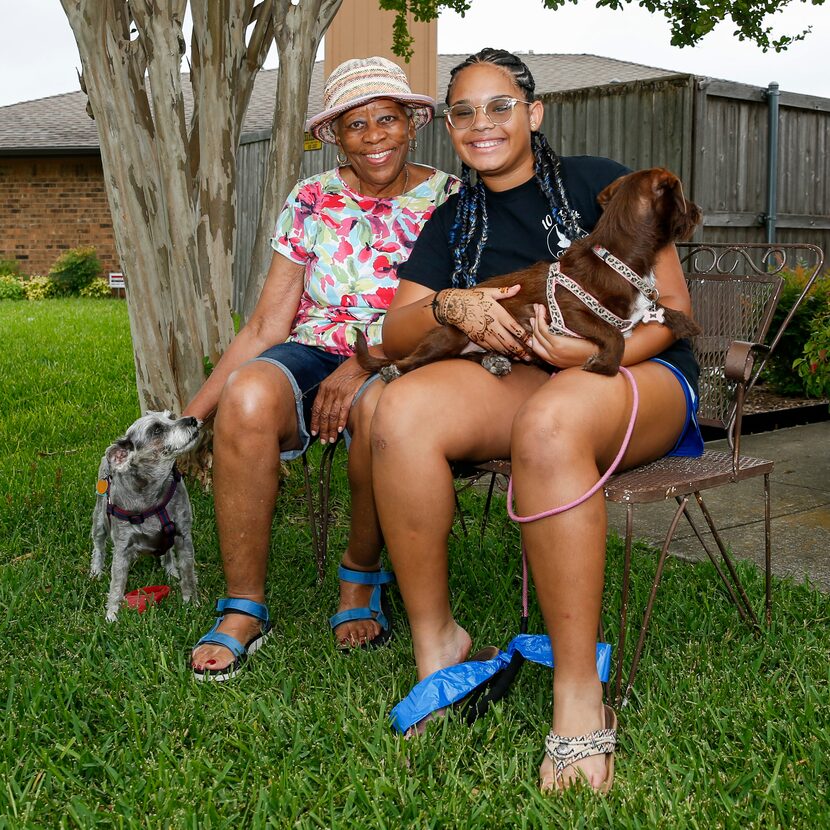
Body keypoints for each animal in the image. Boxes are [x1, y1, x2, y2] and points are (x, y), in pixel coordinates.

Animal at [92, 412, 202, 620]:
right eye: (156, 430)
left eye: (171, 416)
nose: (192, 419)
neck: (151, 497)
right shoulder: (122, 547)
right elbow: (117, 584)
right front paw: (112, 613)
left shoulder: (183, 536)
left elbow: (188, 574)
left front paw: (191, 602)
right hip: (99, 521)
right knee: (98, 546)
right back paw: (95, 571)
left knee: (167, 553)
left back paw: (171, 570)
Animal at [358, 168, 704, 380]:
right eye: (683, 199)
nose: (699, 211)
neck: (616, 259)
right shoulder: (568, 311)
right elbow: (614, 334)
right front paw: (605, 365)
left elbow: (653, 305)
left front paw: (682, 321)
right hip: (449, 336)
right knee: (408, 361)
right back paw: (396, 369)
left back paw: (493, 360)